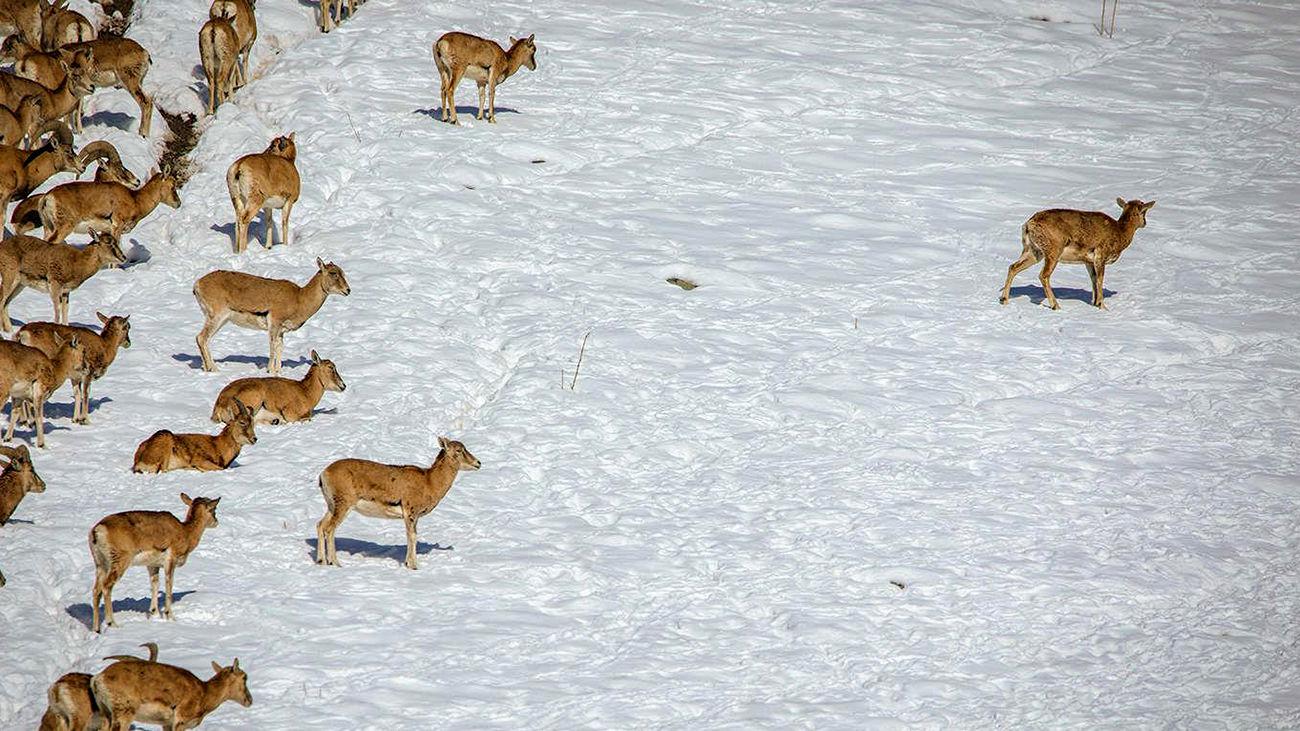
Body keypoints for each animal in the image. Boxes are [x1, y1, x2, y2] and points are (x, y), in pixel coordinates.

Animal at [998, 195, 1154, 308]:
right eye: (1144, 212)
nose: (1145, 223)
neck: (1120, 233)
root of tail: (1029, 224)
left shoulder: (1088, 261)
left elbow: (1093, 280)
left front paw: (1094, 303)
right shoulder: (1100, 255)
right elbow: (1100, 280)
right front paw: (1103, 307)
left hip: (1033, 251)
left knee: (1013, 266)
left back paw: (1003, 299)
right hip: (1053, 250)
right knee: (1043, 275)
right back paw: (1055, 305)